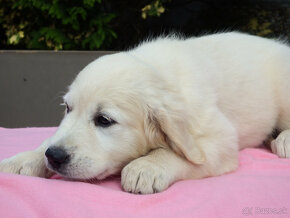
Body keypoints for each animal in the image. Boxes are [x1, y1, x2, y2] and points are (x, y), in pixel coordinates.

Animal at [0, 31, 290, 193]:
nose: (55, 156)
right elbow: (49, 137)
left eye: (104, 120)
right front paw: (26, 158)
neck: (161, 75)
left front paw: (146, 166)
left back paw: (284, 140)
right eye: (68, 109)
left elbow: (179, 153)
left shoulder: (220, 140)